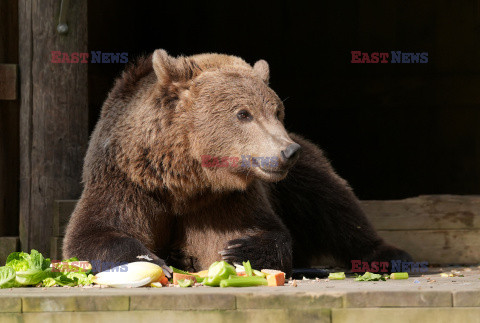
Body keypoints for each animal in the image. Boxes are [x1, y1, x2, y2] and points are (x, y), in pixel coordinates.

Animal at [62, 49, 410, 278]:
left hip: (303, 175)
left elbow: (257, 232)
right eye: (243, 113)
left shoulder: (227, 199)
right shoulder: (127, 181)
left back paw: (390, 255)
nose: (288, 151)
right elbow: (94, 232)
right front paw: (150, 260)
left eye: (277, 111)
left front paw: (238, 250)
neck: (185, 179)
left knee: (334, 204)